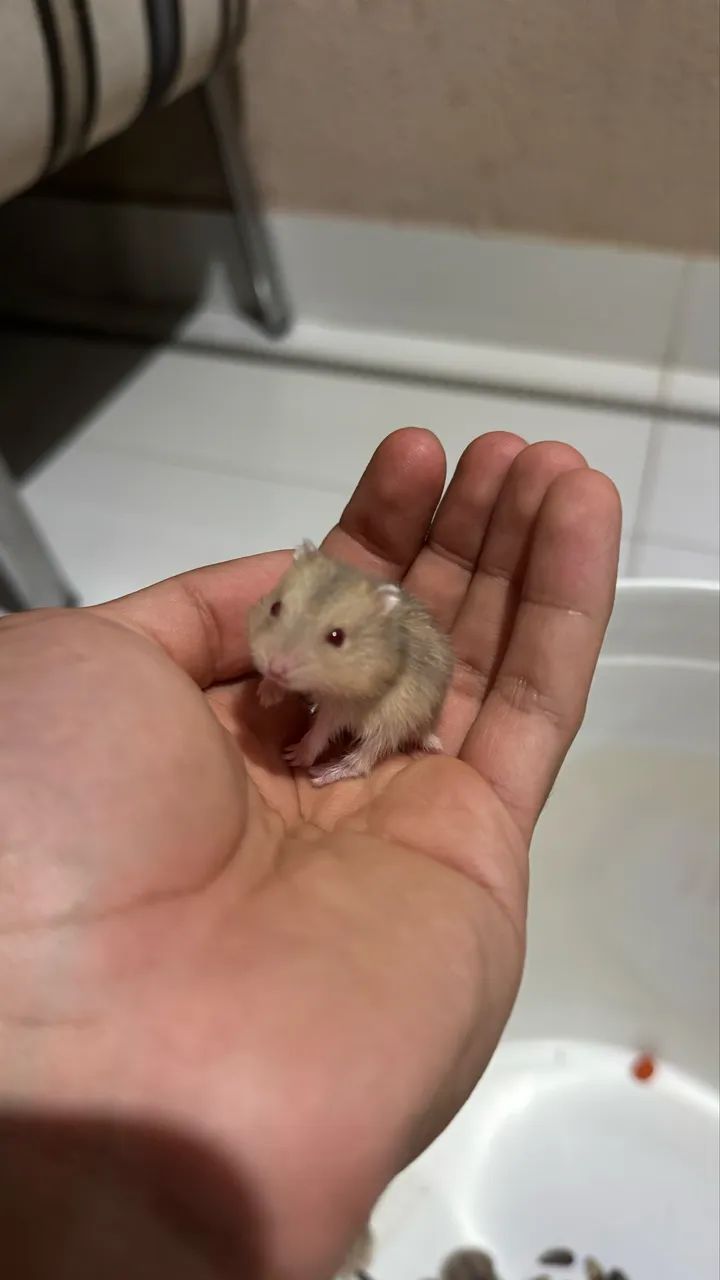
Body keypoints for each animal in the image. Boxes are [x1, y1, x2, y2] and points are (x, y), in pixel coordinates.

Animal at [247, 541, 454, 786]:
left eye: (337, 637)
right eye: (275, 607)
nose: (276, 669)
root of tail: (427, 727)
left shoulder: (343, 706)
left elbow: (322, 729)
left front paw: (294, 756)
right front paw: (267, 697)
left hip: (395, 721)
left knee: (363, 759)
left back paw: (322, 773)